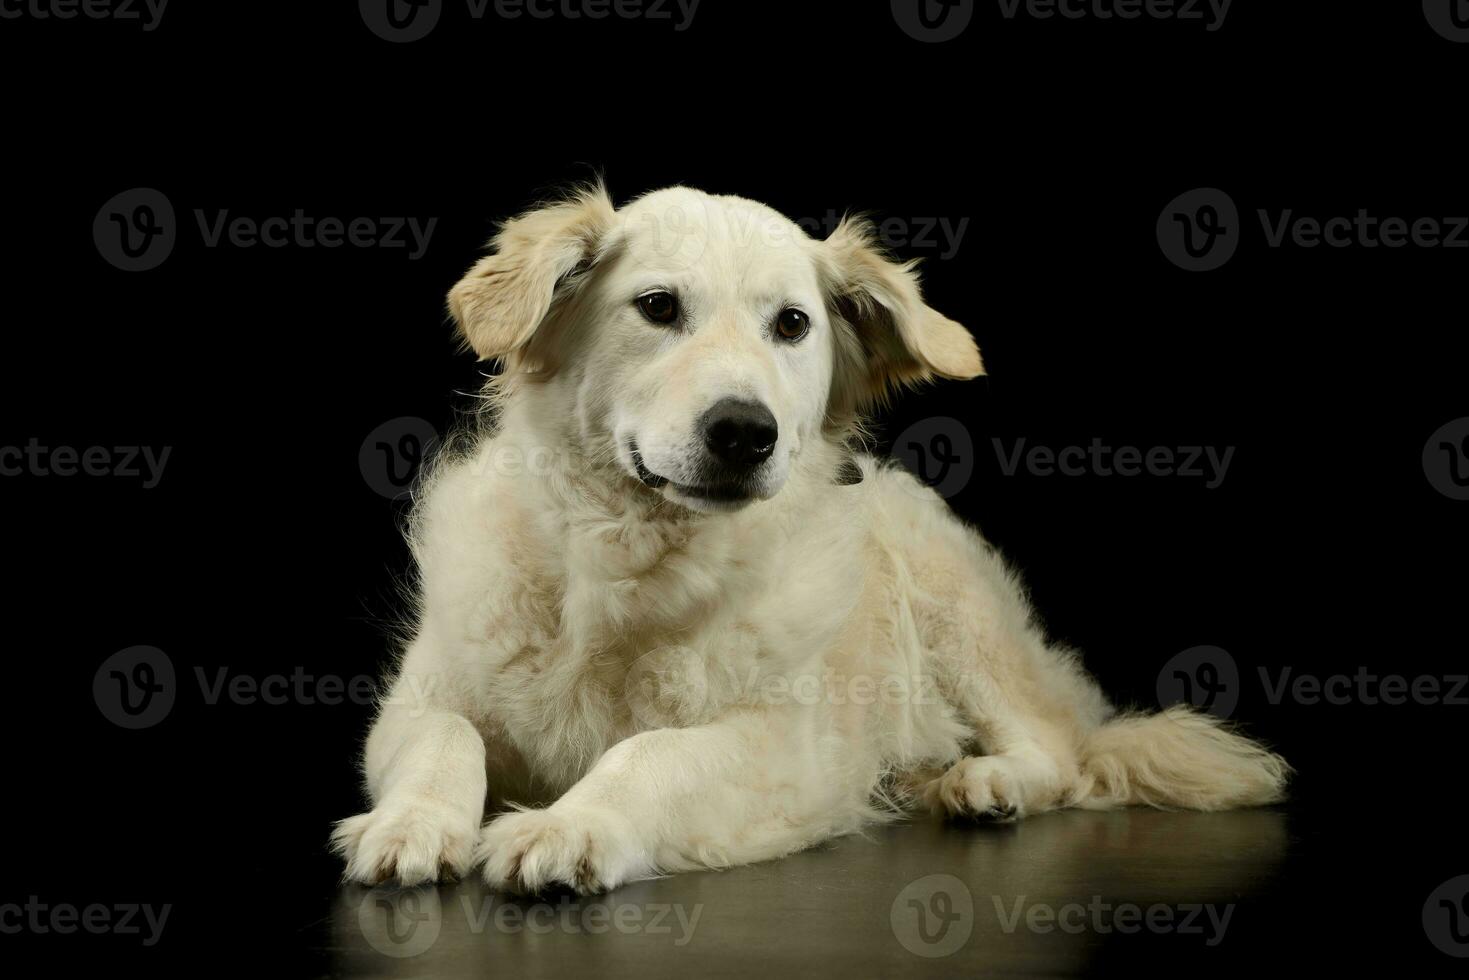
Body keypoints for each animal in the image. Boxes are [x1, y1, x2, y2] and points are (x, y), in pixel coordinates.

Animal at [330, 183, 1286, 899]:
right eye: (657, 307)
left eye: (791, 325)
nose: (744, 432)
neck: (630, 561)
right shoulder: (415, 700)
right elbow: (445, 740)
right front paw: (412, 824)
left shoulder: (780, 753)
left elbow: (650, 755)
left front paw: (570, 825)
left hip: (954, 612)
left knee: (1060, 754)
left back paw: (983, 784)